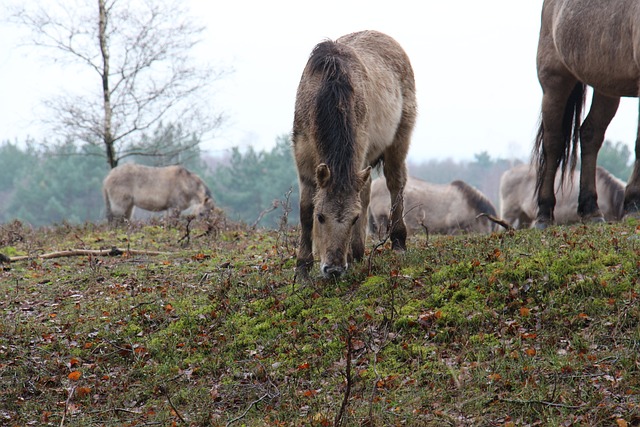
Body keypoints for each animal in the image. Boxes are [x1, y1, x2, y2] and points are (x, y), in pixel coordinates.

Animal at [292, 29, 418, 278]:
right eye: (321, 217)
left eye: (354, 218)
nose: (333, 269)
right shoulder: (303, 159)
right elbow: (305, 209)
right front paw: (302, 266)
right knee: (367, 191)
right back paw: (359, 251)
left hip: (399, 140)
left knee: (395, 183)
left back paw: (397, 242)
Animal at [532, 0, 640, 227]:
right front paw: (634, 205)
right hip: (555, 82)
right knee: (553, 143)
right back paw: (544, 214)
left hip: (607, 87)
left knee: (590, 134)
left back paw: (590, 209)